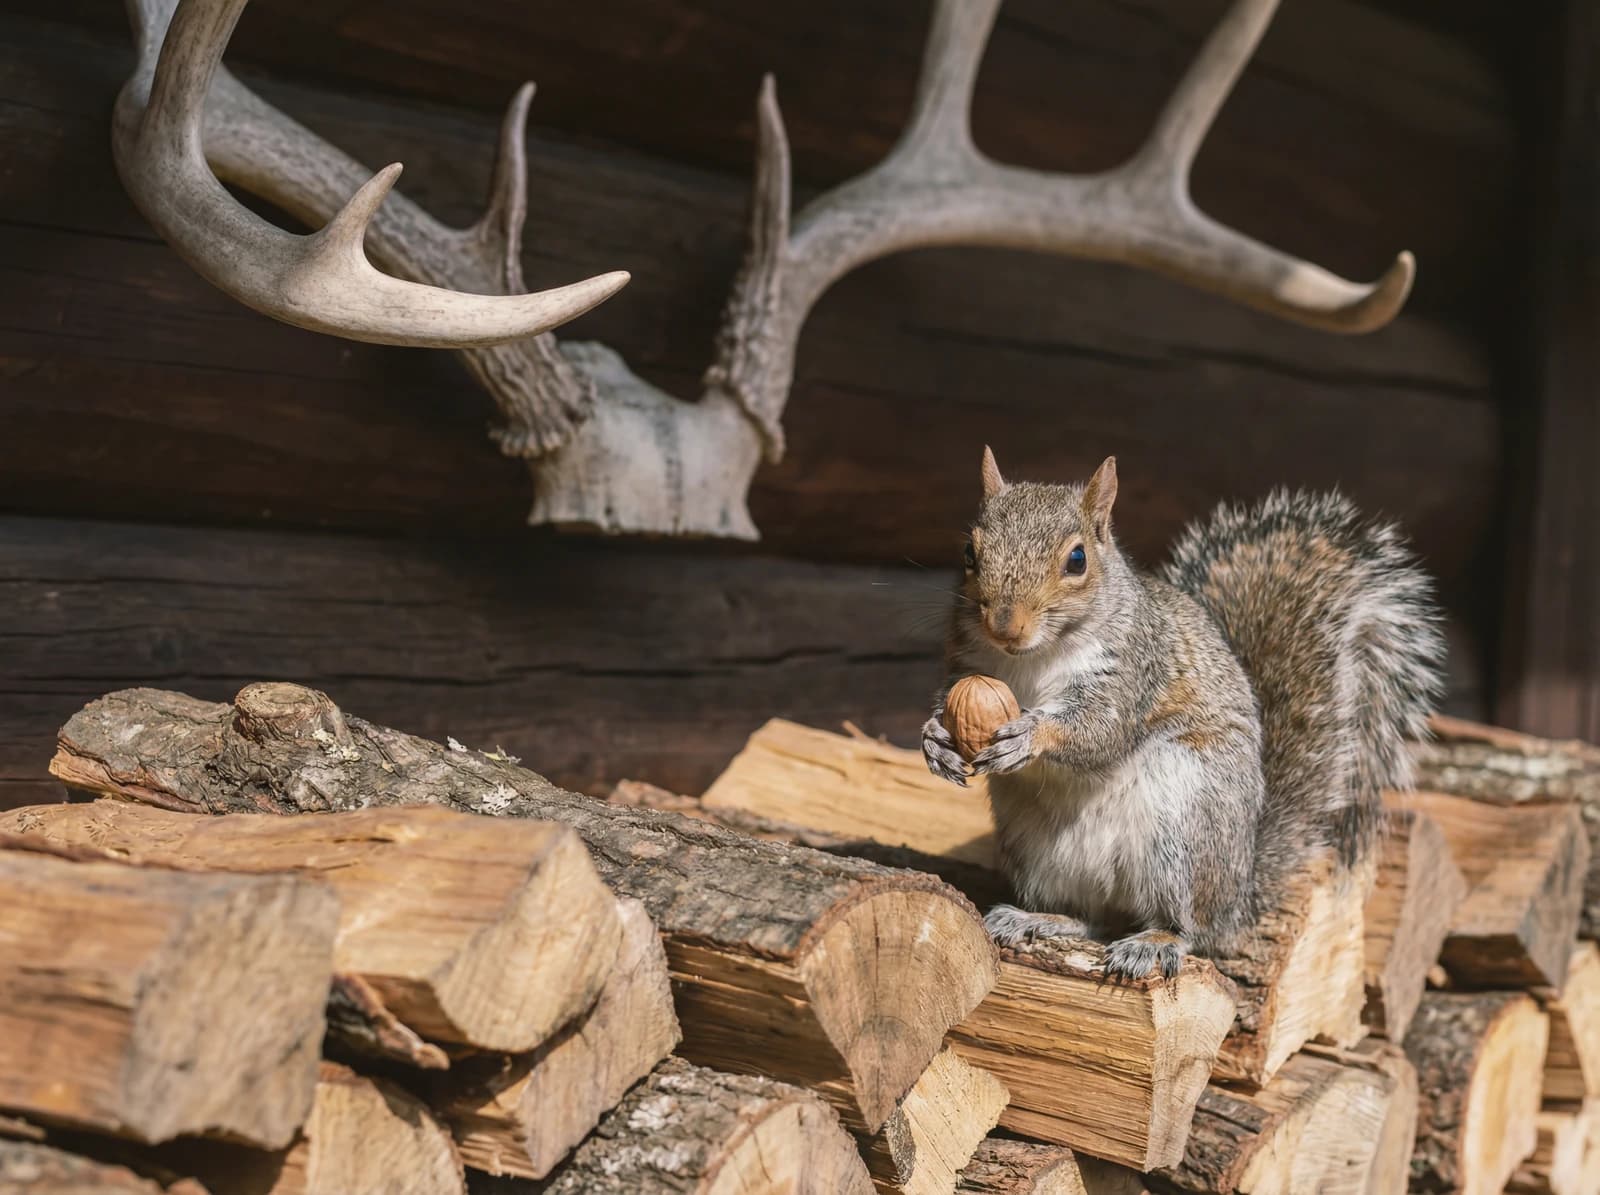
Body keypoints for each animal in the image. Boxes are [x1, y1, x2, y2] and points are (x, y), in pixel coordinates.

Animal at [921, 448, 1445, 981]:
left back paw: (1155, 941)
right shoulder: (966, 664)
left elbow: (1100, 731)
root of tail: (1238, 895)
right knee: (1092, 918)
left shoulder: (1134, 668)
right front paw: (935, 740)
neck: (1032, 656)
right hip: (1035, 850)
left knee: (1188, 928)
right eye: (969, 552)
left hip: (1184, 827)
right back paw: (1040, 918)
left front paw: (1030, 735)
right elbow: (947, 699)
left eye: (1077, 560)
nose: (1004, 625)